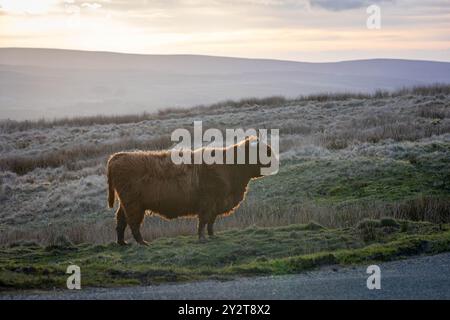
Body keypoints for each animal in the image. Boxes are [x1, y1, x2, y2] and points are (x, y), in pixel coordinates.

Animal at [106, 135, 274, 245]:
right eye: (263, 152)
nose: (275, 162)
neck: (231, 167)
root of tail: (117, 156)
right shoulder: (208, 203)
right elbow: (203, 221)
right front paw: (202, 238)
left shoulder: (216, 204)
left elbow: (211, 222)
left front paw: (212, 235)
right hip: (134, 204)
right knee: (133, 223)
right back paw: (142, 243)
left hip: (126, 203)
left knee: (121, 220)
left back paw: (122, 243)